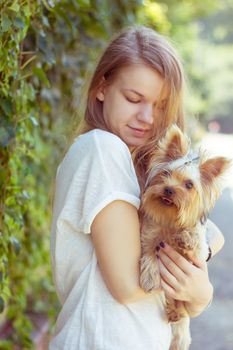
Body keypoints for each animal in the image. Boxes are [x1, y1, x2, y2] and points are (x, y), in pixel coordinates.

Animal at [139, 124, 230, 350]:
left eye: (189, 185)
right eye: (166, 173)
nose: (168, 189)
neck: (170, 220)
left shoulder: (197, 253)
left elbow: (194, 236)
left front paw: (186, 237)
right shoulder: (149, 235)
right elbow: (149, 252)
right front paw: (150, 278)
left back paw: (176, 313)